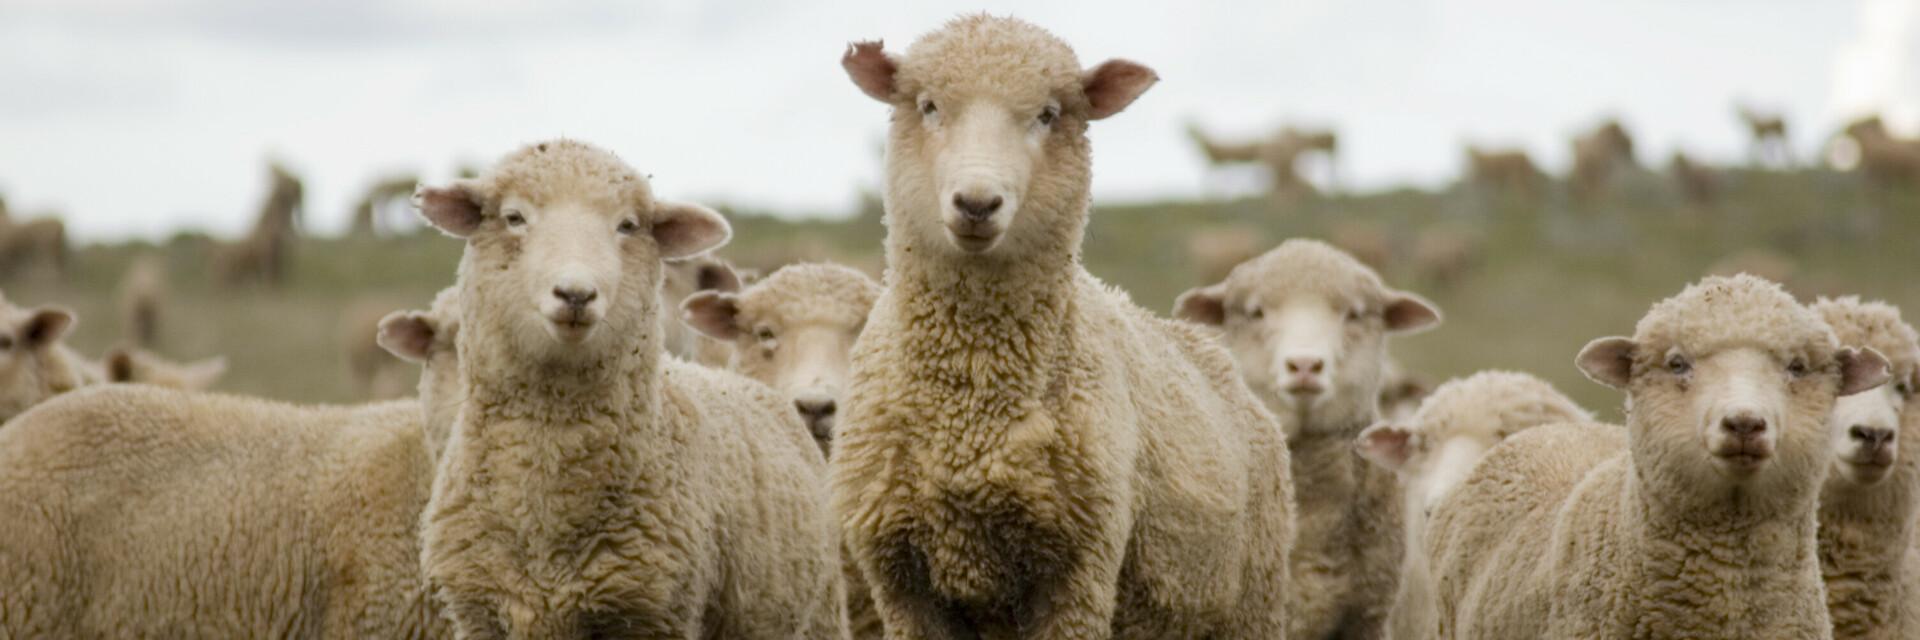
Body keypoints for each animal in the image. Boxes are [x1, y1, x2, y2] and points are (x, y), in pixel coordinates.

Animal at [837, 16, 1295, 637]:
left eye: (1048, 114)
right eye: (928, 105)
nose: (977, 203)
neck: (971, 410)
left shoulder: (1079, 573)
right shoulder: (901, 584)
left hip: (1252, 603)